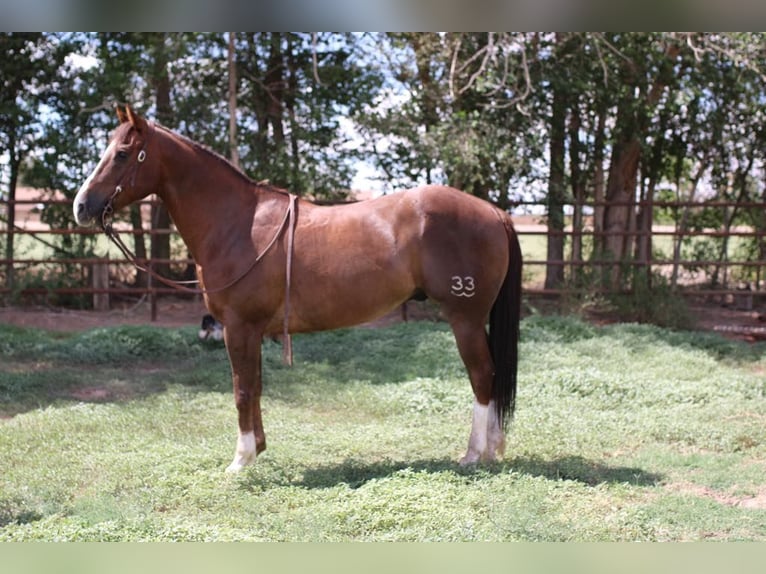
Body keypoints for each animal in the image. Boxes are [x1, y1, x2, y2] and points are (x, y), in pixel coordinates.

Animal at [73, 106, 523, 472]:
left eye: (123, 153)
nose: (81, 206)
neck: (236, 223)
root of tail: (494, 212)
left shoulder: (238, 328)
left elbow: (241, 390)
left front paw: (240, 461)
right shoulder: (250, 332)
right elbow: (255, 387)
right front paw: (258, 449)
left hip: (464, 317)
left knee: (482, 376)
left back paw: (475, 454)